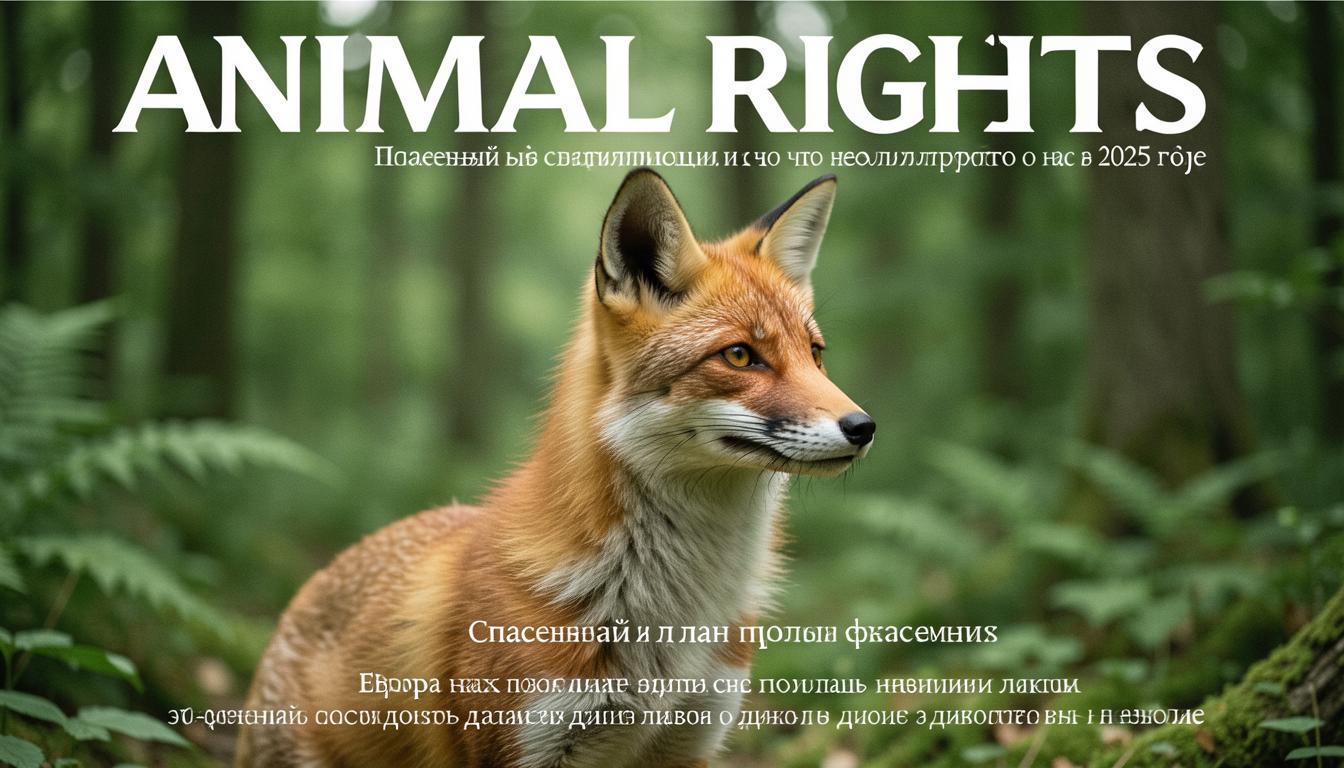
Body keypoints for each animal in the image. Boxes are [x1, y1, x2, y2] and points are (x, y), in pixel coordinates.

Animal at [236, 168, 875, 768]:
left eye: (815, 354)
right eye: (740, 355)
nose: (863, 426)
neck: (671, 622)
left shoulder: (689, 736)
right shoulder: (527, 743)